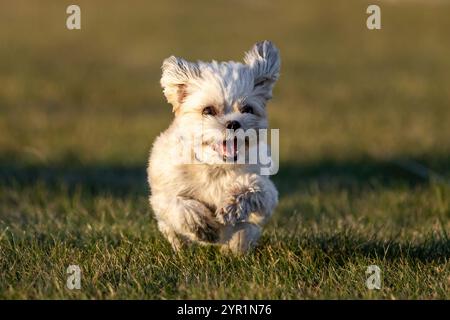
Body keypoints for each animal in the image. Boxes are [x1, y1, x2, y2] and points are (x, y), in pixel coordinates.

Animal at [148, 40, 282, 255]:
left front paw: (232, 205)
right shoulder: (164, 195)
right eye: (208, 110)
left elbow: (254, 187)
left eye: (247, 109)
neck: (215, 167)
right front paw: (204, 226)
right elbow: (179, 205)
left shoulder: (266, 194)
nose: (233, 123)